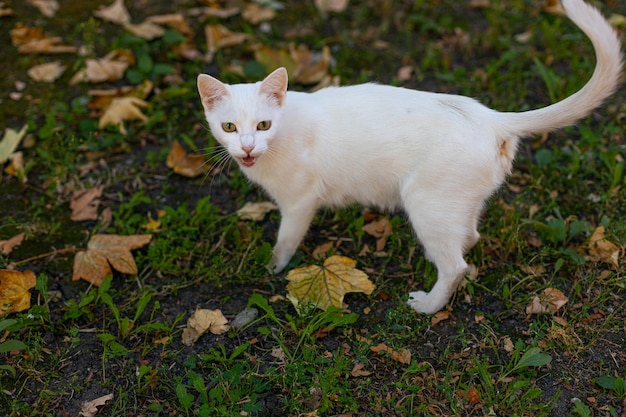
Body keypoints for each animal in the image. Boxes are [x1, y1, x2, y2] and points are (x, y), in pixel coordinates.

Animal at [199, 0, 620, 312]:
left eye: (264, 125)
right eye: (230, 128)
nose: (247, 147)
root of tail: (491, 116)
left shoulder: (299, 203)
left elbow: (285, 243)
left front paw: (271, 268)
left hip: (425, 205)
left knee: (455, 266)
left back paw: (428, 305)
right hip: (454, 205)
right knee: (470, 237)